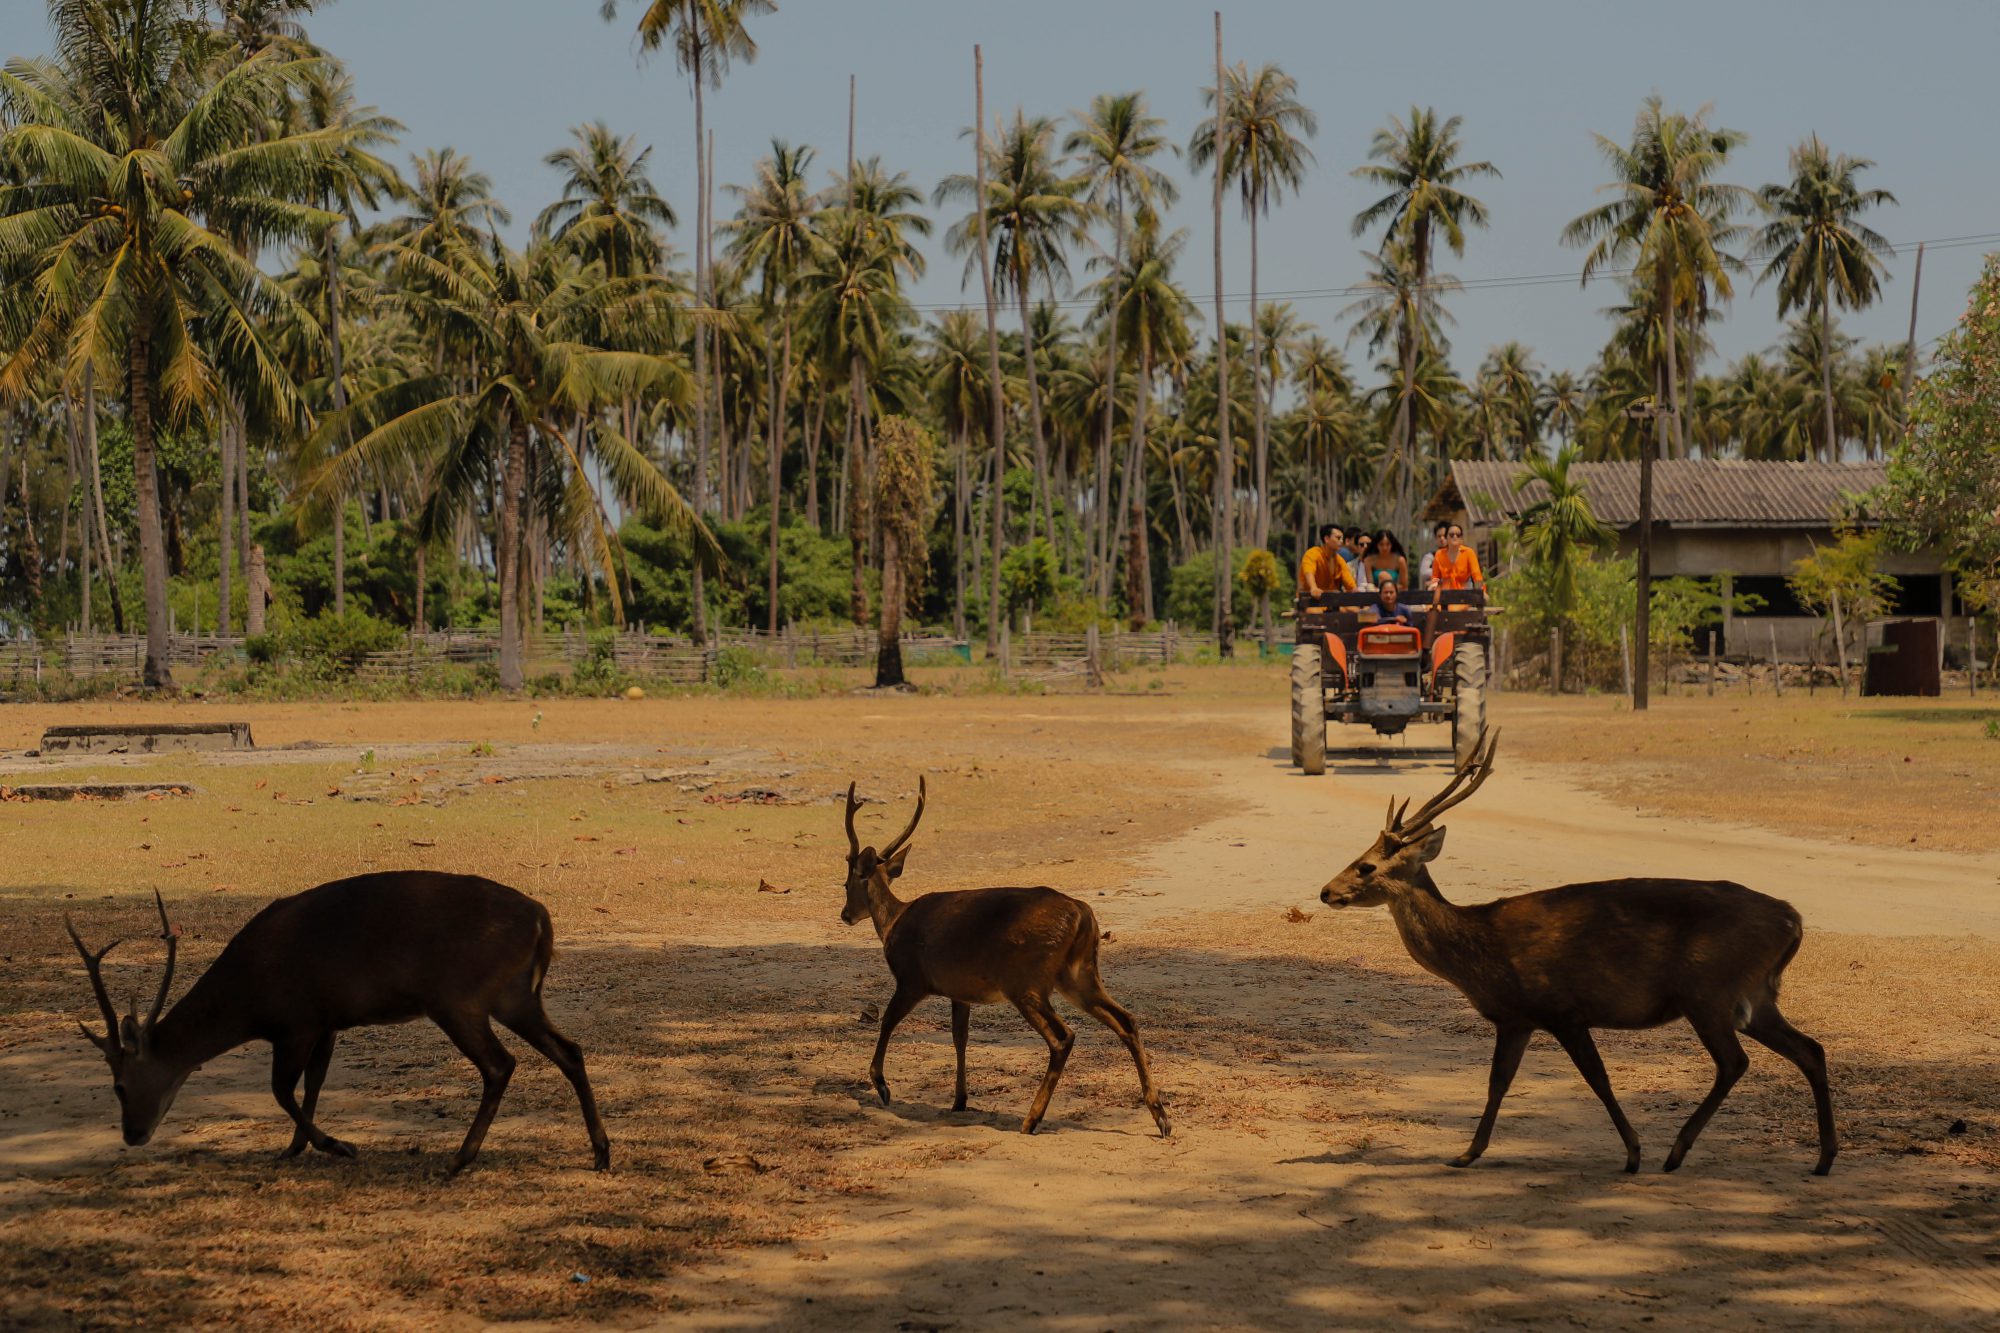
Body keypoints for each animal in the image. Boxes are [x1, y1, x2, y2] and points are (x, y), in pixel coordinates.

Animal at [66, 868, 608, 1168]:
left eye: (118, 1085)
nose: (132, 1134)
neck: (248, 999)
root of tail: (542, 918)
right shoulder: (327, 1022)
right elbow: (313, 1085)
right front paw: (294, 1149)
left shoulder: (296, 1021)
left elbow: (282, 1090)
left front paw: (336, 1146)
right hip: (516, 996)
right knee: (570, 1050)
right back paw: (601, 1154)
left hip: (459, 999)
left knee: (500, 1064)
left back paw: (458, 1160)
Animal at [840, 780, 1168, 1128]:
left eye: (846, 883)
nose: (845, 915)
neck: (893, 922)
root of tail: (1082, 915)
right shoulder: (960, 991)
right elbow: (960, 1036)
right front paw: (959, 1100)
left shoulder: (911, 977)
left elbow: (888, 1020)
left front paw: (881, 1084)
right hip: (1081, 974)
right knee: (1126, 1019)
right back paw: (1160, 1116)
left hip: (1025, 981)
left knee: (1063, 1036)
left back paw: (1031, 1119)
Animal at [1320, 732, 1832, 1176]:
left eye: (1366, 866)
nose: (1326, 891)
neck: (1480, 950)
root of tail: (1793, 919)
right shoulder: (1518, 1017)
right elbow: (1498, 1082)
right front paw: (1467, 1153)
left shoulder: (1560, 1008)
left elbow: (1596, 1078)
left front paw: (1633, 1152)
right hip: (1754, 995)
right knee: (1810, 1049)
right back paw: (1823, 1159)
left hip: (1708, 989)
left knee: (1735, 1061)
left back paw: (1676, 1152)